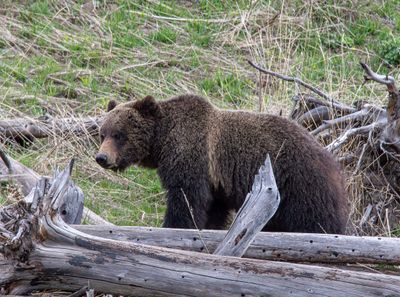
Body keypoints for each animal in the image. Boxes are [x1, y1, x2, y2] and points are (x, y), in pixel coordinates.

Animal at [95, 93, 348, 232]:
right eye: (103, 133)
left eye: (119, 134)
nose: (101, 158)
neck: (163, 140)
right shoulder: (216, 181)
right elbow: (212, 209)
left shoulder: (193, 158)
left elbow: (186, 200)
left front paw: (174, 225)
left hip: (299, 182)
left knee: (315, 221)